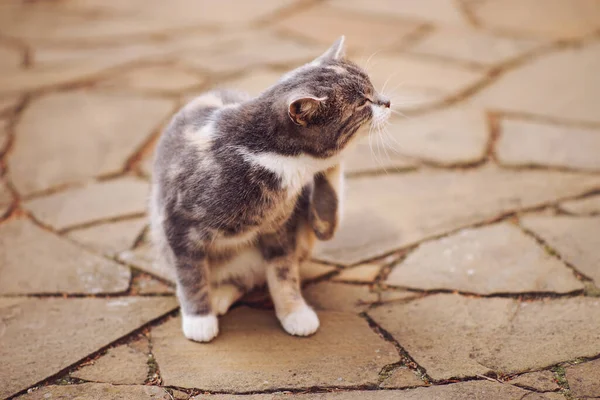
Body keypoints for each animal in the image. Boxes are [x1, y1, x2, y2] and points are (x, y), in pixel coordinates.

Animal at [150, 36, 392, 340]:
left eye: (371, 87)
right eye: (362, 103)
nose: (388, 102)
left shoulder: (281, 226)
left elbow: (283, 271)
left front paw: (294, 312)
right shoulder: (178, 221)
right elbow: (191, 273)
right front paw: (199, 319)